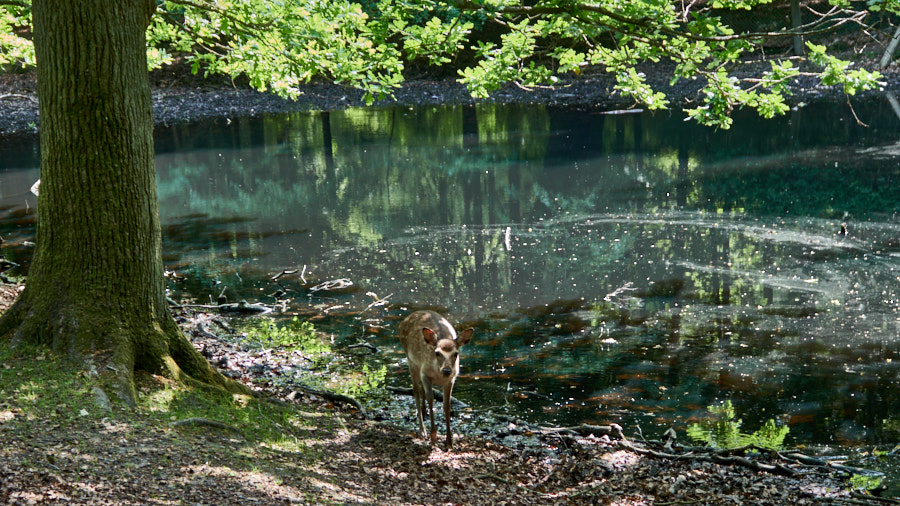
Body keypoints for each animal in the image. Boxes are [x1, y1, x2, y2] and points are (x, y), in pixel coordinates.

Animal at [400, 310, 474, 448]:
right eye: (437, 353)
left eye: (456, 353)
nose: (447, 370)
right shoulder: (424, 373)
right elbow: (431, 398)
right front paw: (433, 437)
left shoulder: (451, 380)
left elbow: (447, 405)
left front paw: (449, 442)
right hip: (411, 361)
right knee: (416, 390)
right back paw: (422, 430)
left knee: (421, 390)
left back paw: (424, 413)